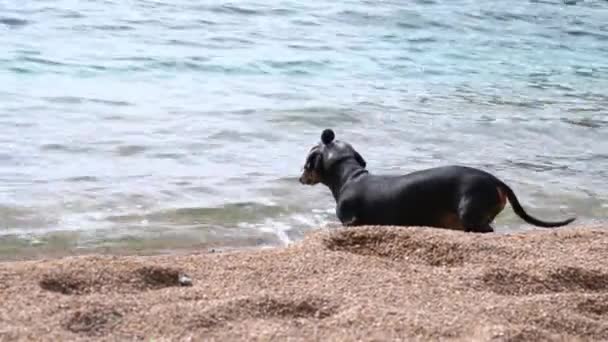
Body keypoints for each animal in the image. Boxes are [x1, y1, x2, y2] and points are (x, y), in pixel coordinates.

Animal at [302, 128, 576, 232]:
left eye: (307, 162)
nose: (300, 178)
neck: (351, 177)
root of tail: (497, 181)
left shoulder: (350, 222)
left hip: (470, 214)